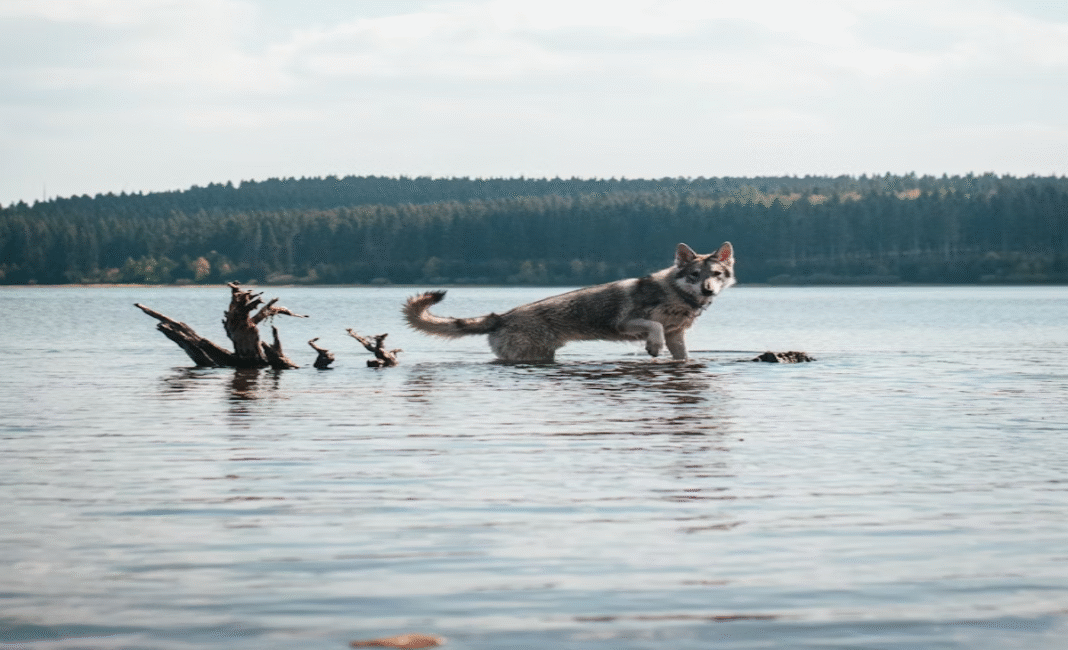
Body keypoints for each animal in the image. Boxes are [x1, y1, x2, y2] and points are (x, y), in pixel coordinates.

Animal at [402, 242, 735, 362]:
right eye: (694, 275)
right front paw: (653, 347)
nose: (708, 291)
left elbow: (681, 355)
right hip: (534, 355)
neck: (677, 295)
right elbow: (654, 327)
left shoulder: (677, 336)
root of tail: (503, 316)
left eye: (716, 274)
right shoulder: (627, 323)